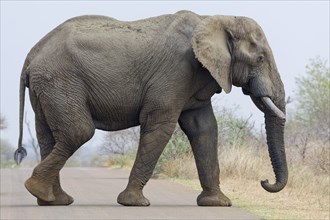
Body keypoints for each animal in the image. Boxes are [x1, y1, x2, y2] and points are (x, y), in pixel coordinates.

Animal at [16, 10, 288, 206]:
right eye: (260, 59)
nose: (264, 180)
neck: (215, 19)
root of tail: (31, 55)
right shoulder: (175, 72)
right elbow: (160, 126)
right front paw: (134, 203)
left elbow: (204, 129)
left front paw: (218, 203)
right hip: (59, 81)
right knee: (78, 132)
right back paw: (39, 191)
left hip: (46, 88)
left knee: (48, 136)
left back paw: (52, 200)